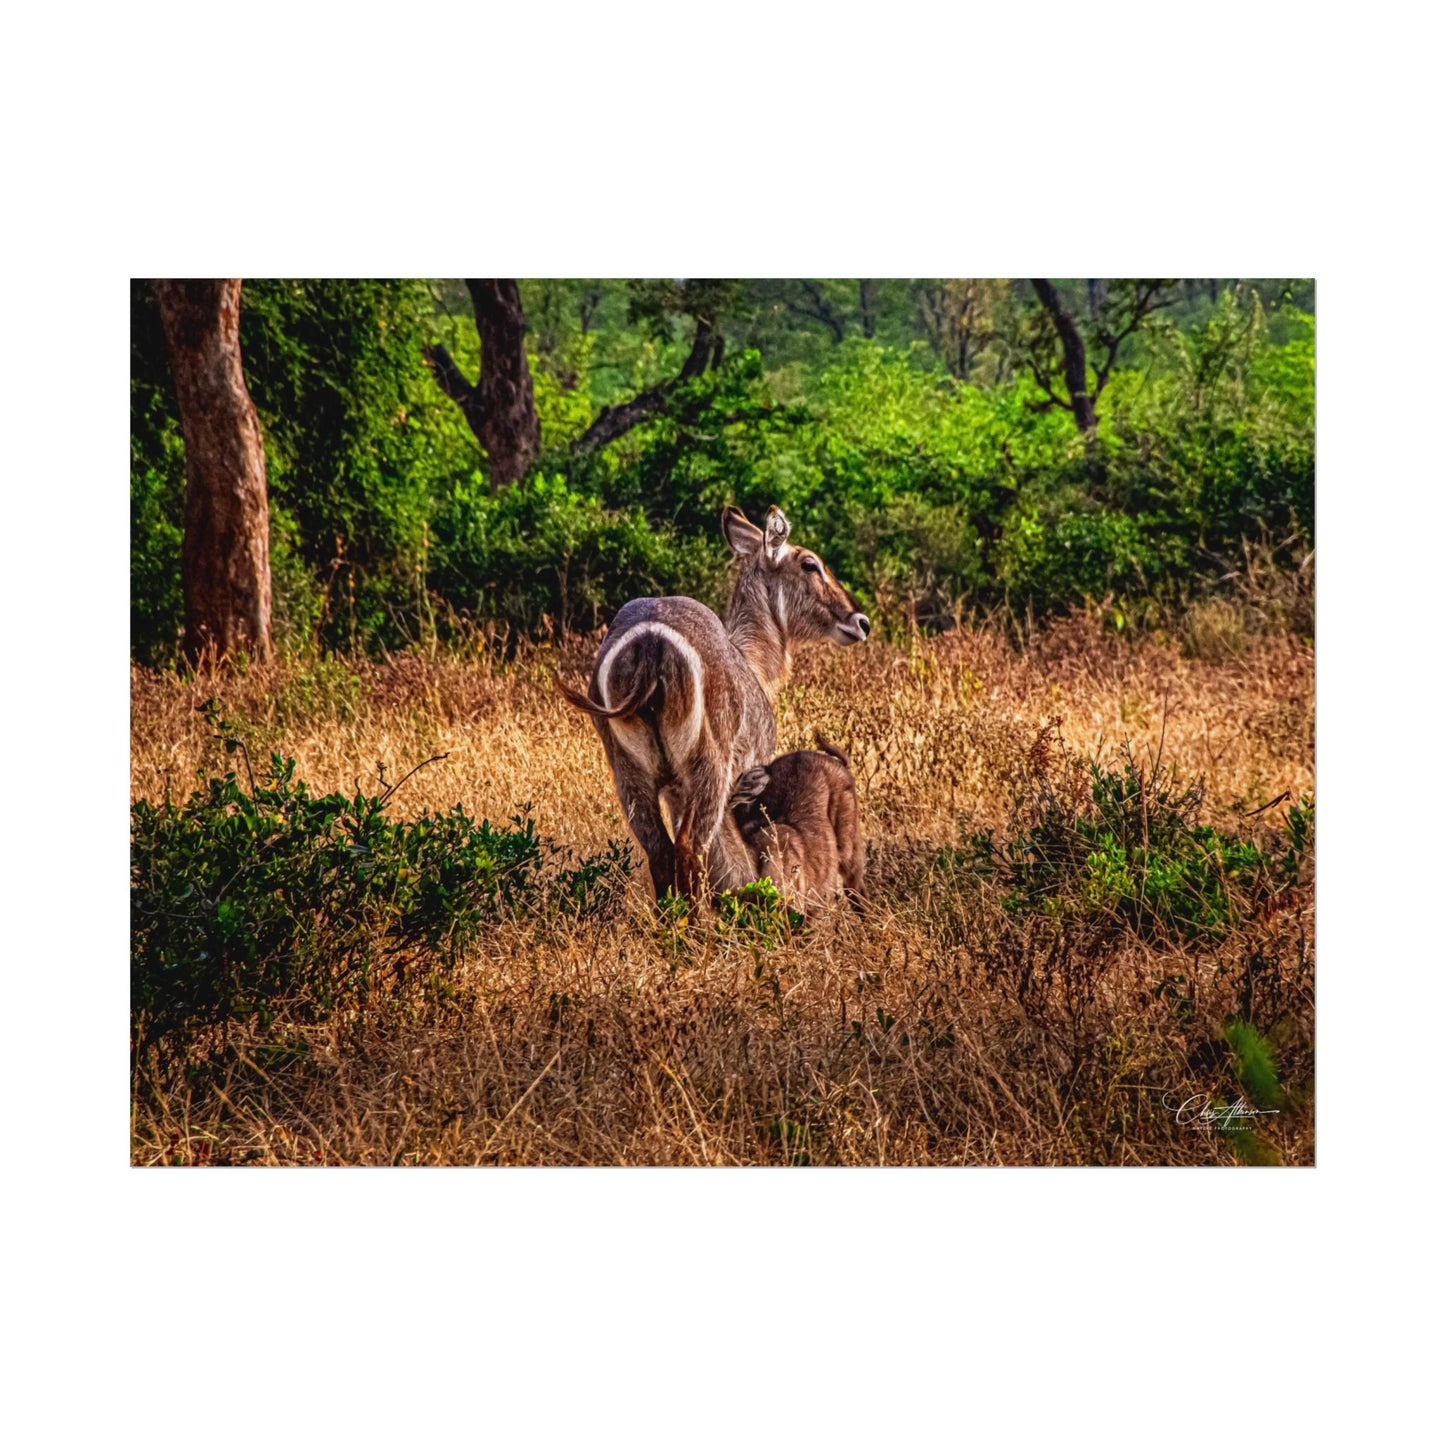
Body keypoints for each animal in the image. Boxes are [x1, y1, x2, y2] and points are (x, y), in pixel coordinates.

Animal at [557, 502, 861, 895]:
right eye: (810, 563)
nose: (859, 621)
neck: (751, 662)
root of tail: (651, 641)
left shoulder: (673, 791)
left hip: (629, 773)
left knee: (660, 852)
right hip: (707, 768)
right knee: (690, 848)